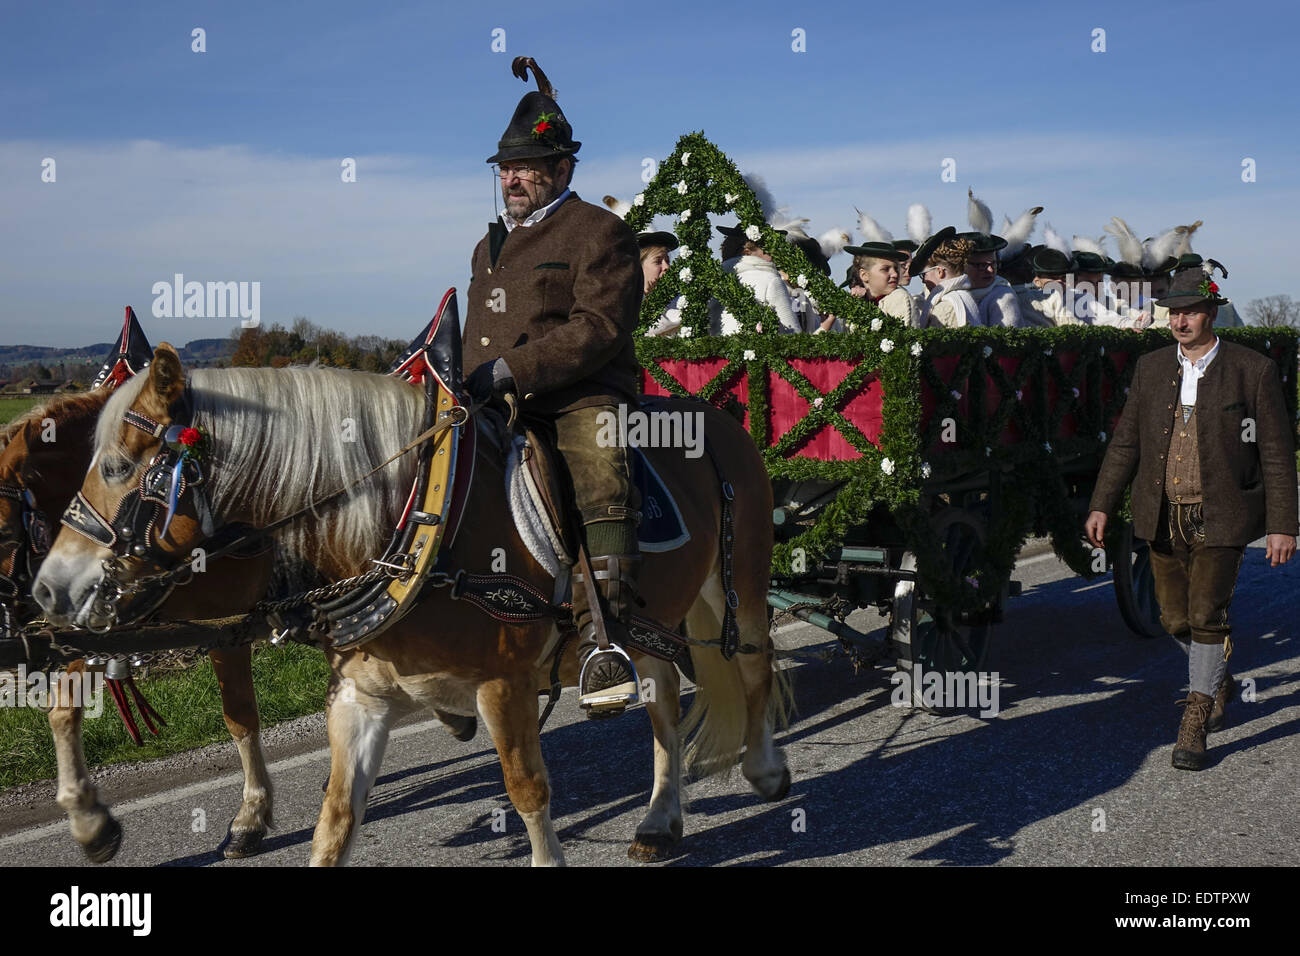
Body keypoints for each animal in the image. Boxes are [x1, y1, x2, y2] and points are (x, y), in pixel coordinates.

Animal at [1, 392, 276, 863]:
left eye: (2, 531)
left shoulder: (229, 625)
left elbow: (239, 717)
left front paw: (250, 817)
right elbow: (63, 707)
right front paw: (89, 821)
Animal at [35, 345, 785, 868]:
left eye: (118, 467)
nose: (48, 587)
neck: (416, 520)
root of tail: (718, 418)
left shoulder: (503, 686)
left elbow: (528, 794)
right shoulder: (360, 698)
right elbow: (336, 820)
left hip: (740, 584)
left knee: (754, 665)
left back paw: (763, 768)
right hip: (647, 618)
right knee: (661, 700)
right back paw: (660, 820)